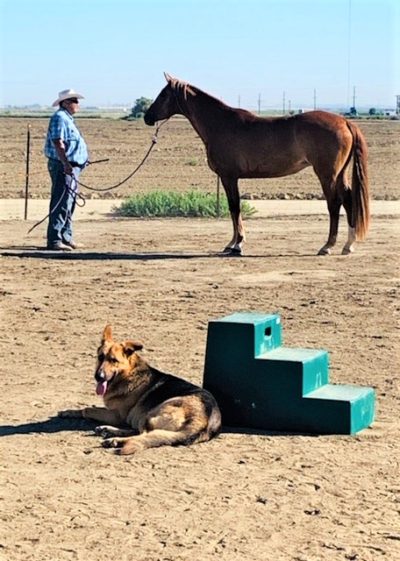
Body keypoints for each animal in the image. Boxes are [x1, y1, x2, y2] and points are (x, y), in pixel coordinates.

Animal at [58, 326, 222, 452]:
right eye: (100, 357)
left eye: (113, 360)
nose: (99, 376)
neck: (128, 374)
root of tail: (204, 420)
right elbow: (89, 407)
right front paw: (68, 412)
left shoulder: (117, 415)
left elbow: (88, 410)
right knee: (140, 431)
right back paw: (107, 431)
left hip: (152, 413)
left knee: (143, 434)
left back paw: (114, 440)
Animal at [143, 73, 368, 255]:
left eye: (163, 94)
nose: (147, 117)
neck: (220, 124)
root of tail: (344, 122)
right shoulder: (229, 178)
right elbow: (233, 208)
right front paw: (232, 244)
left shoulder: (229, 177)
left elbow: (235, 207)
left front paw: (237, 244)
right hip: (340, 174)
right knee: (348, 200)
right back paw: (348, 245)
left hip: (327, 174)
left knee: (334, 203)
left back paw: (327, 246)